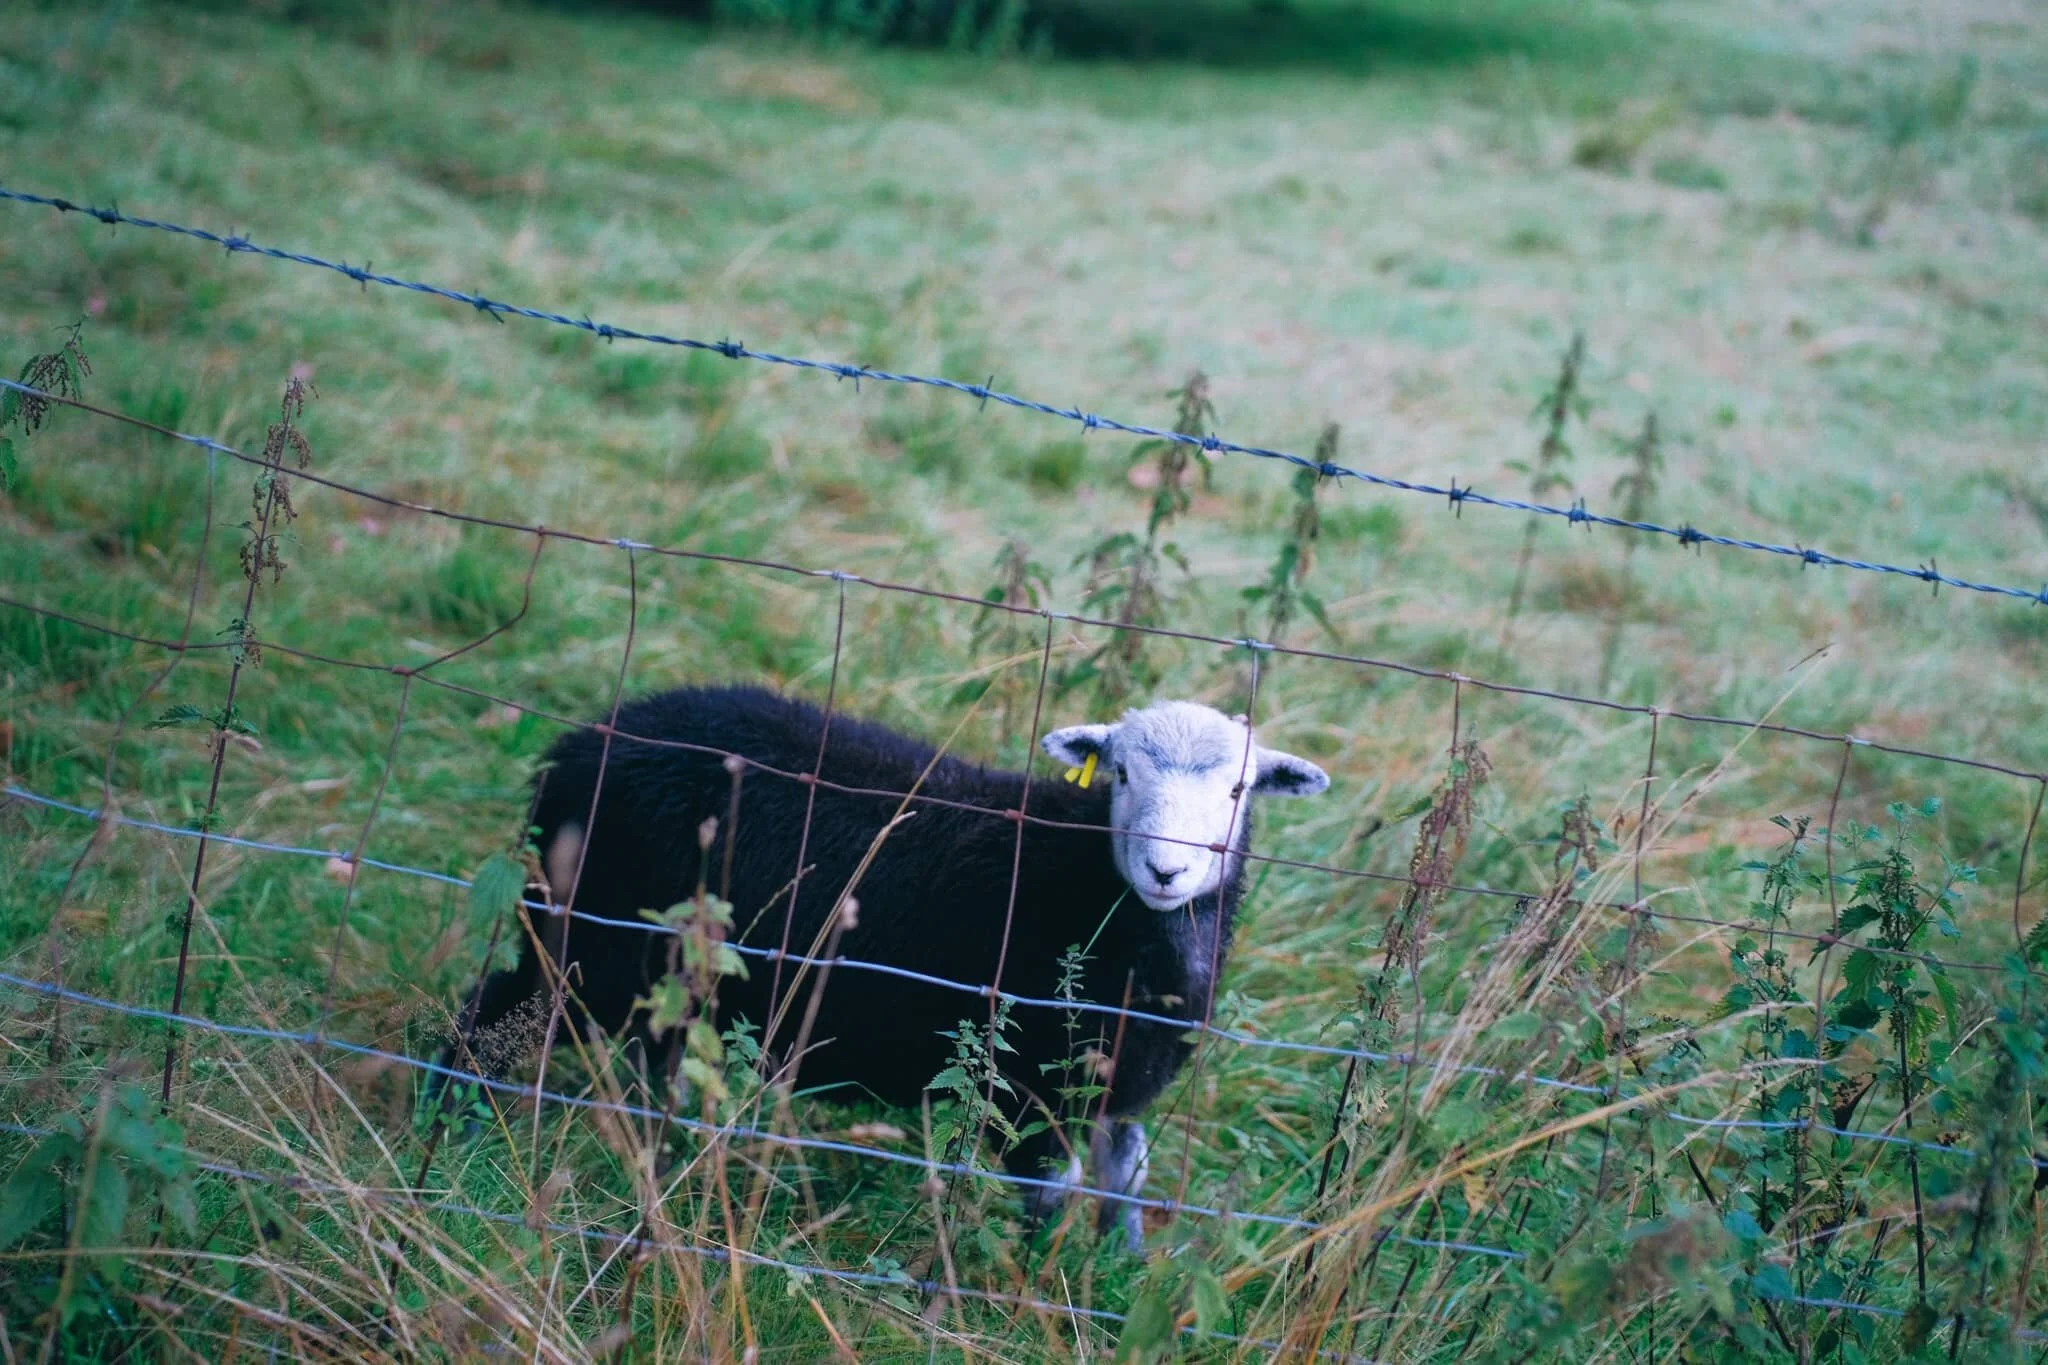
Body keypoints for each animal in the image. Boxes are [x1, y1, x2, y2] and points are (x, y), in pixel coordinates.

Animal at [429, 682, 1330, 1245]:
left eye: (1241, 790)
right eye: (1122, 772)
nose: (1167, 871)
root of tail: (584, 744)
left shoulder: (1114, 1083)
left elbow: (1125, 1180)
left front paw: (1116, 1280)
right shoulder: (1020, 1086)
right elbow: (1051, 1196)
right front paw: (1021, 1302)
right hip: (582, 940)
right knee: (488, 1023)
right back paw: (445, 1140)